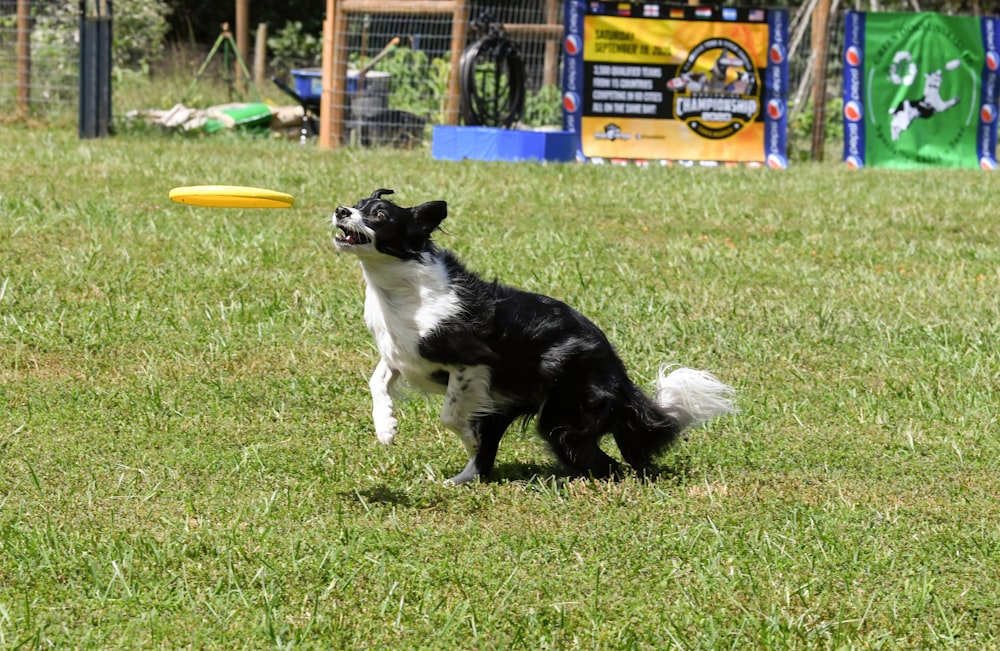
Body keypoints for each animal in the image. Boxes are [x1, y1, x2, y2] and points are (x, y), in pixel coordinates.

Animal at [336, 188, 736, 484]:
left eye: (380, 215)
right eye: (357, 204)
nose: (340, 210)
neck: (402, 286)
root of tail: (617, 373)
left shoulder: (473, 362)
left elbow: (450, 414)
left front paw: (464, 435)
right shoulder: (402, 353)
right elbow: (378, 381)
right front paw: (386, 427)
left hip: (562, 417)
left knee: (606, 464)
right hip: (520, 409)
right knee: (493, 458)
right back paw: (461, 479)